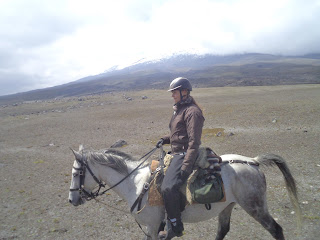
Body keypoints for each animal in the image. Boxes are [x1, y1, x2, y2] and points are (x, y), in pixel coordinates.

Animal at [69, 145, 302, 239]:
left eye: (76, 173)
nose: (72, 199)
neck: (135, 184)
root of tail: (253, 161)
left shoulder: (153, 225)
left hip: (255, 206)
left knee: (276, 230)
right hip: (227, 206)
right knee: (222, 231)